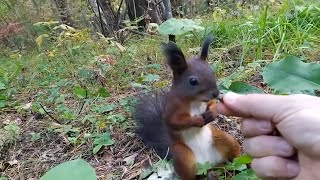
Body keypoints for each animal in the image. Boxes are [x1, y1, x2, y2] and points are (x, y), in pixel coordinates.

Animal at [132, 34, 240, 179]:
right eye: (193, 81)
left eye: (211, 72)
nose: (216, 93)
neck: (195, 101)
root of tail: (207, 164)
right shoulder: (172, 107)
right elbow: (174, 121)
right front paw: (197, 120)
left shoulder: (206, 102)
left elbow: (211, 104)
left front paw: (212, 112)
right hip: (182, 155)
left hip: (224, 139)